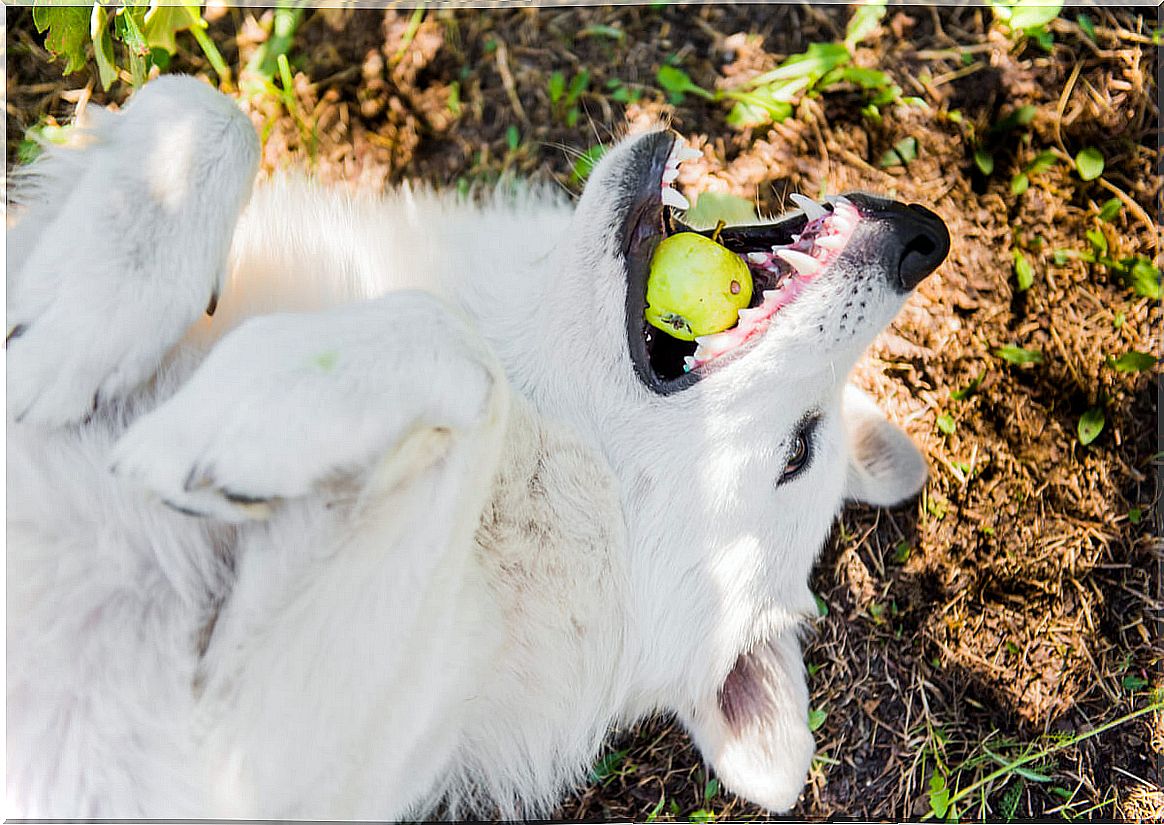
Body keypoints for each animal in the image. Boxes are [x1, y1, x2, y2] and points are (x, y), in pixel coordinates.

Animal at [6, 77, 945, 819]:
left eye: (795, 451)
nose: (922, 236)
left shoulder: (208, 754)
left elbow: (462, 360)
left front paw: (237, 415)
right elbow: (206, 109)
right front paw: (81, 318)